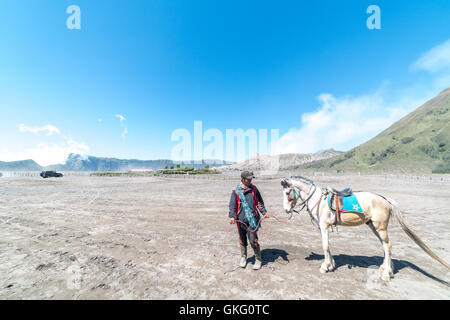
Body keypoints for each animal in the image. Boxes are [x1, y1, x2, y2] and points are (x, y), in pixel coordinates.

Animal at [282, 176, 450, 282]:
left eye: (287, 192)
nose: (286, 210)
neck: (318, 199)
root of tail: (385, 199)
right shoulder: (323, 227)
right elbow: (327, 246)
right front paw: (331, 265)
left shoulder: (324, 226)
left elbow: (325, 246)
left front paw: (325, 267)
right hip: (374, 226)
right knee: (384, 246)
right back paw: (385, 268)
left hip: (380, 227)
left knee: (388, 246)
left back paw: (386, 274)